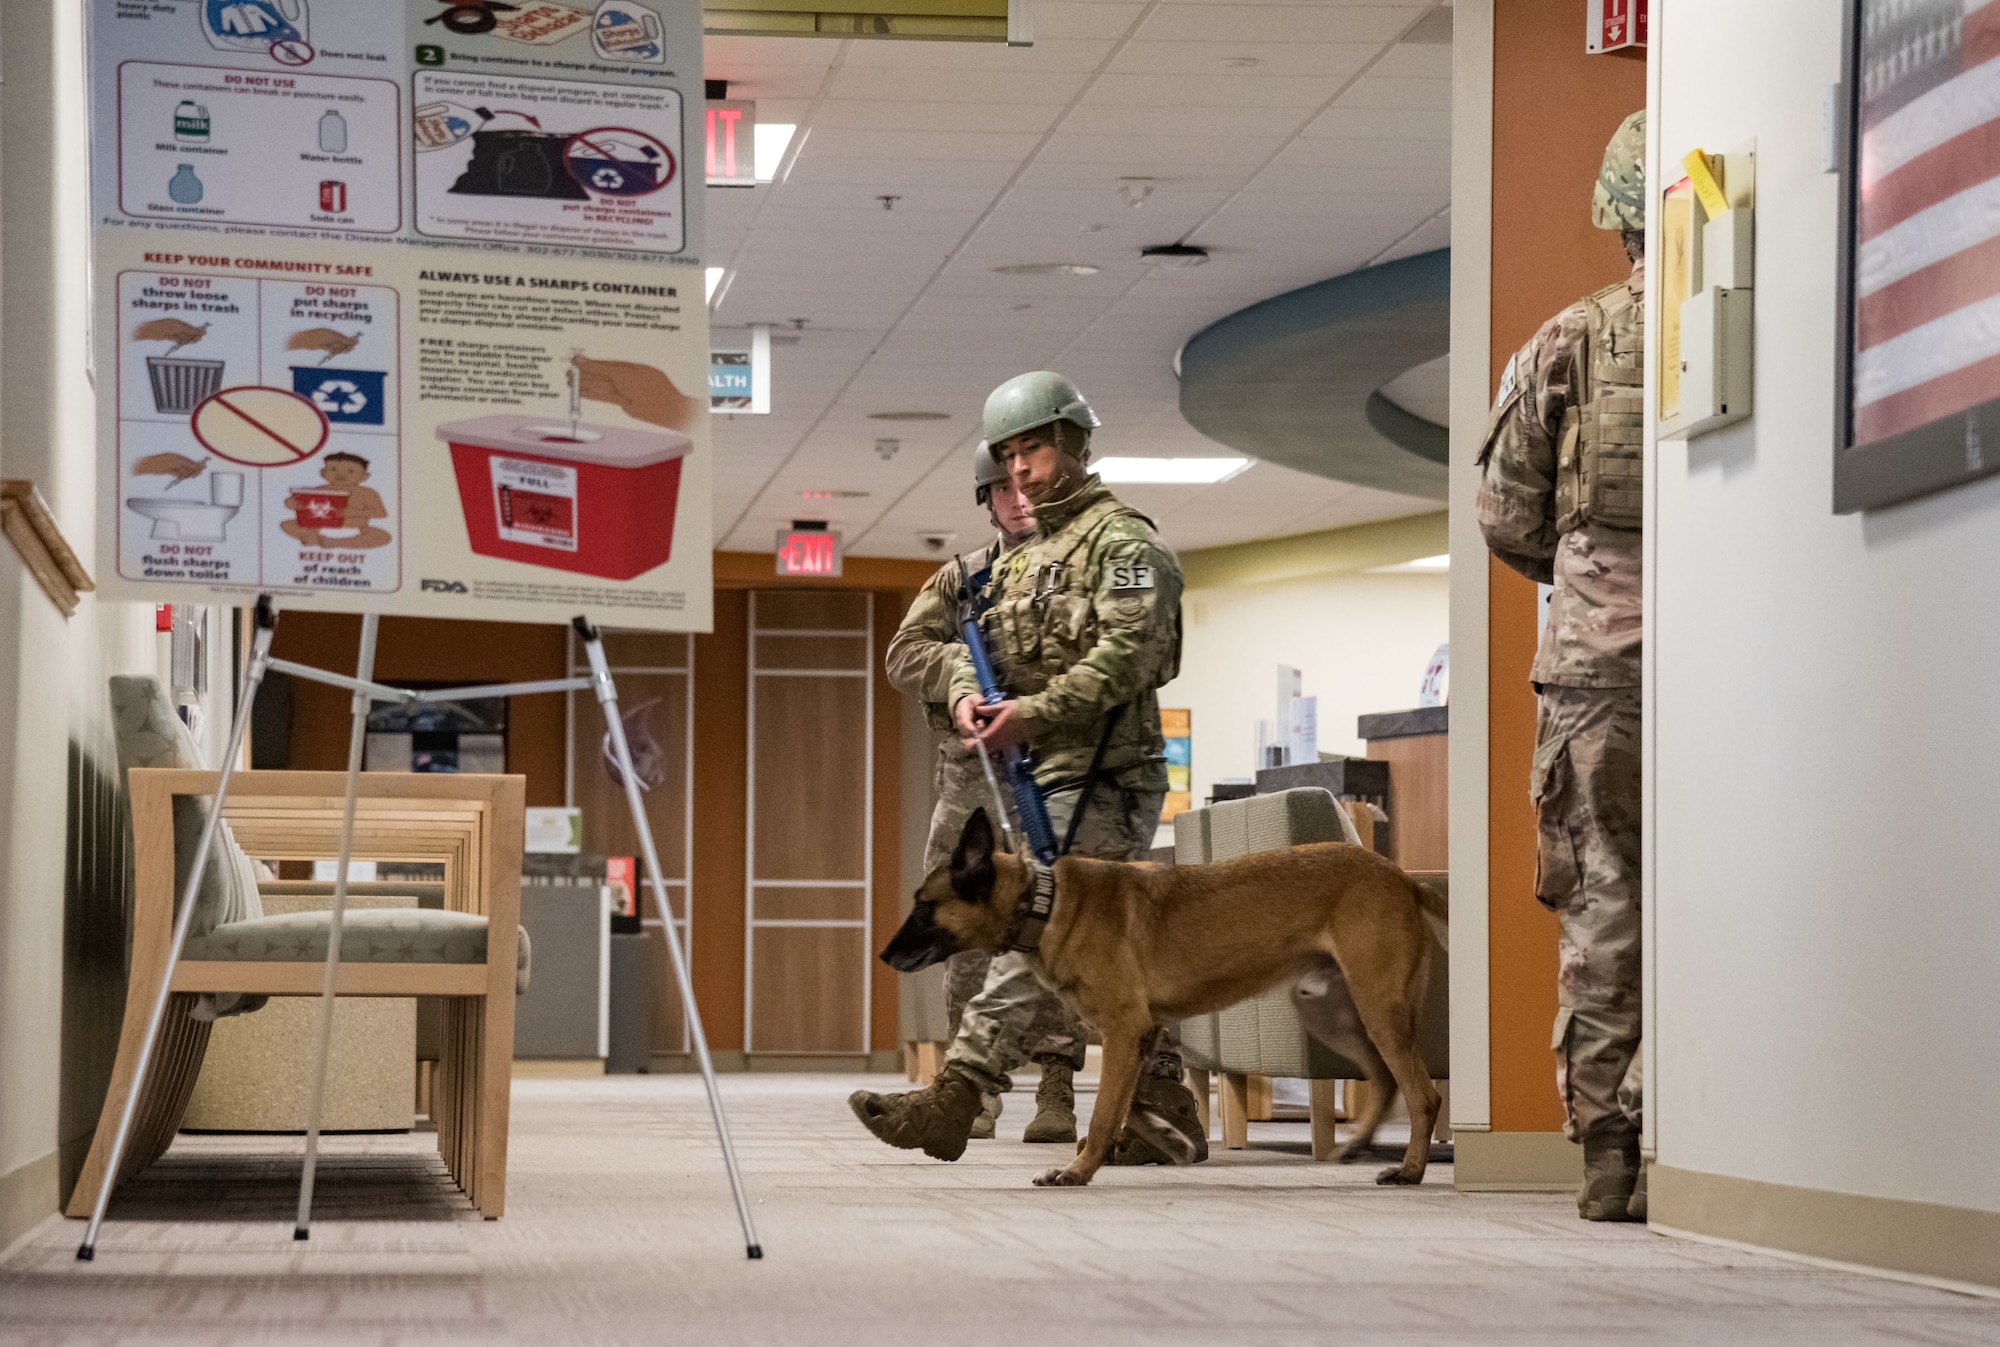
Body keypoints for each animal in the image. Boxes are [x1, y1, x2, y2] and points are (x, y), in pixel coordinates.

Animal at [884, 807, 1448, 1183]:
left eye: (924, 905)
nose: (885, 956)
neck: (1044, 902)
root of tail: (1401, 877)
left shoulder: (1125, 1030)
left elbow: (1106, 1108)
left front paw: (1080, 1169)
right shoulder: (1141, 1034)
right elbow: (1126, 1103)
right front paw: (1166, 1138)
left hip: (1378, 1009)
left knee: (1424, 1094)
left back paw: (1410, 1169)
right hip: (1333, 1014)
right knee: (1386, 1082)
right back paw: (1361, 1146)